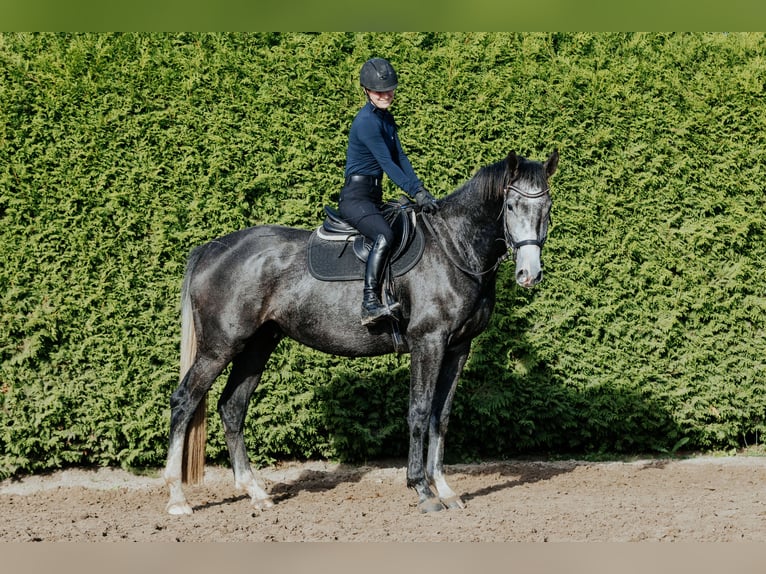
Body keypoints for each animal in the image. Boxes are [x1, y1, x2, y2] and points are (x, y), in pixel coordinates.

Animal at [165, 150, 560, 516]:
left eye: (548, 207)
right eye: (511, 205)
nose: (529, 274)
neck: (453, 248)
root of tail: (211, 249)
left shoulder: (458, 347)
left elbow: (441, 416)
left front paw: (446, 489)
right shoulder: (428, 342)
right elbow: (419, 411)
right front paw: (423, 490)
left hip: (256, 346)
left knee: (232, 408)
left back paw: (256, 492)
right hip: (219, 347)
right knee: (184, 401)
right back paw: (177, 497)